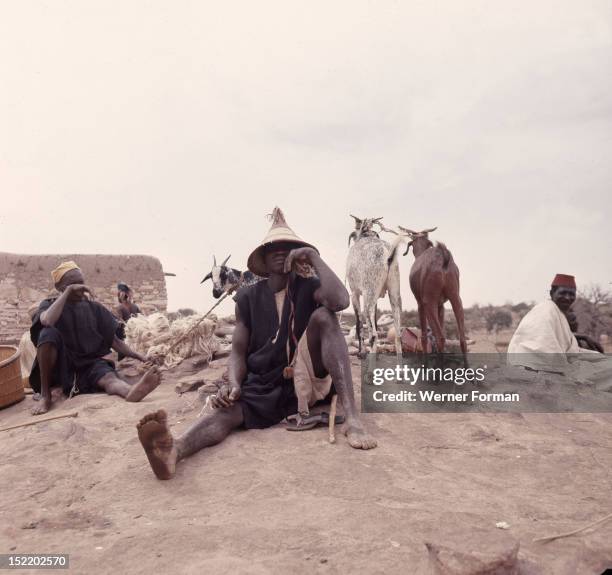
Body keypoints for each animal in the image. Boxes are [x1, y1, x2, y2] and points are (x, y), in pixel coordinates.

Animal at [402, 226, 468, 358]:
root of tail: (442, 257)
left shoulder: (420, 304)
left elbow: (423, 336)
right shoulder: (441, 305)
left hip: (429, 303)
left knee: (440, 337)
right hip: (455, 298)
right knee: (462, 340)